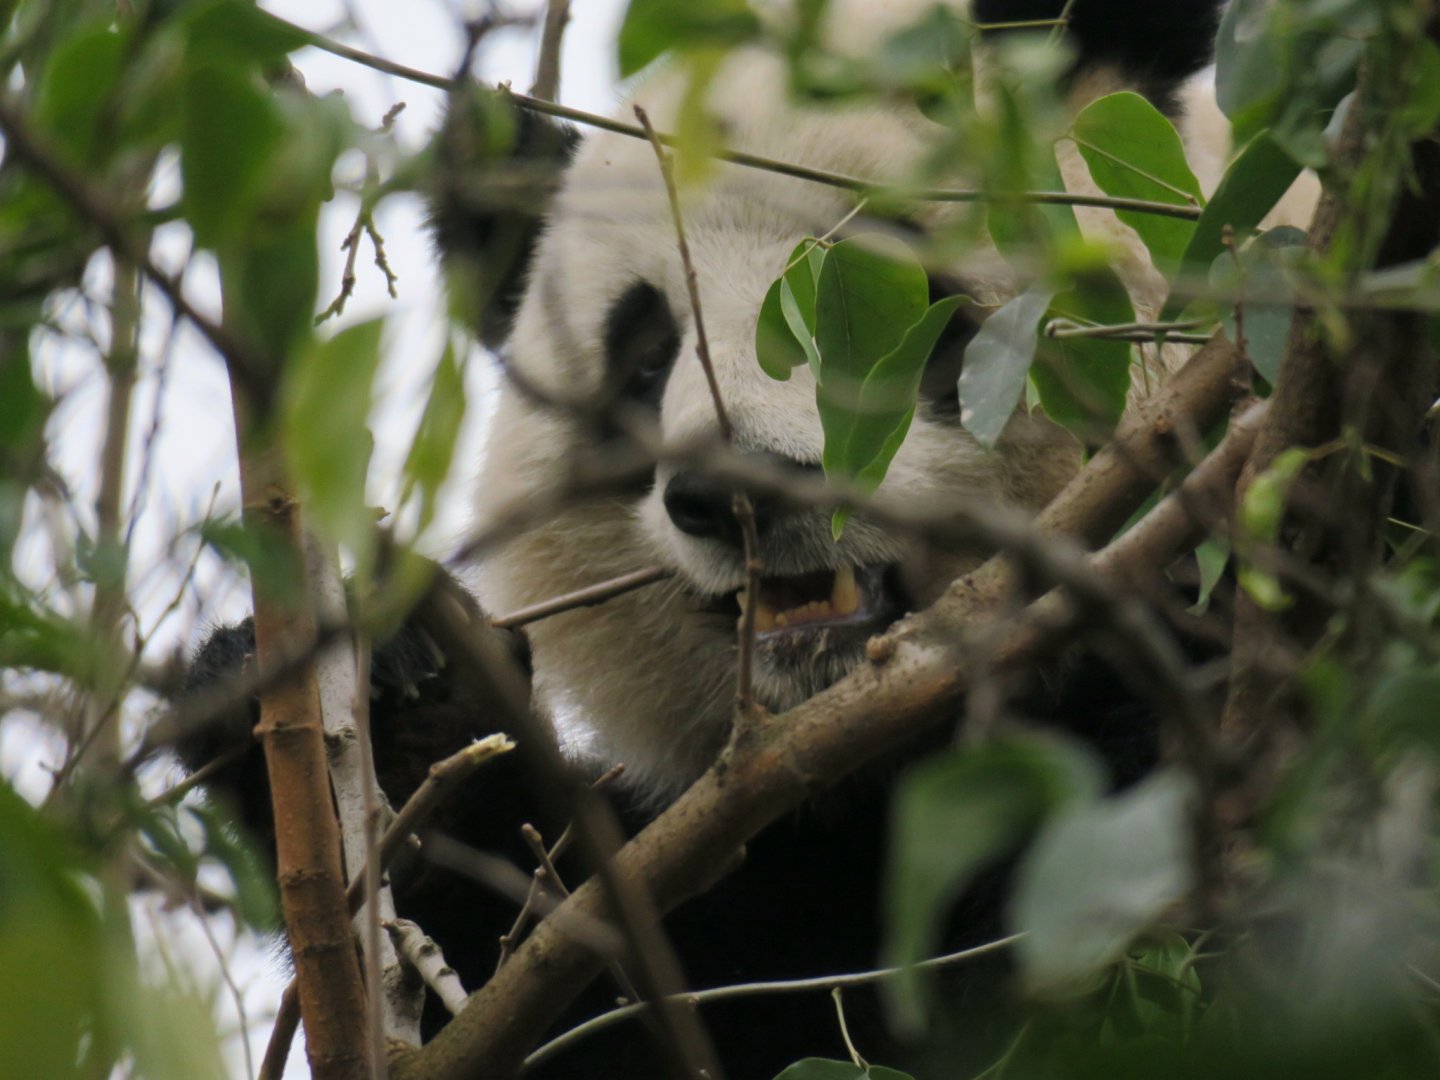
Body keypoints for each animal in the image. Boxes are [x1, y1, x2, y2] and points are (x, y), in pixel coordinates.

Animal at [182, 1, 1234, 1076]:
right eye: (648, 360)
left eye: (903, 307)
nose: (739, 491)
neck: (861, 739)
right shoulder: (771, 865)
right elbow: (576, 994)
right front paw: (382, 693)